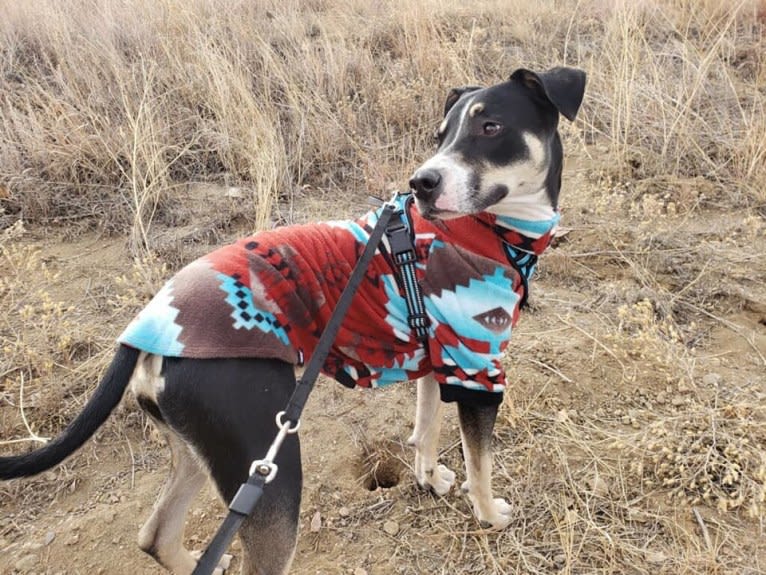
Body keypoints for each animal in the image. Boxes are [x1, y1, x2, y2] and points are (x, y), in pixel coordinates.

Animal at [1, 65, 588, 572]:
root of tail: (144, 325)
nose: (421, 182)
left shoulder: (438, 359)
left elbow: (425, 429)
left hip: (197, 450)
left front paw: (428, 478)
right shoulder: (478, 372)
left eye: (491, 127)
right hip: (269, 468)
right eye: (441, 136)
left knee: (155, 535)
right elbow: (478, 463)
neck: (491, 233)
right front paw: (489, 515)